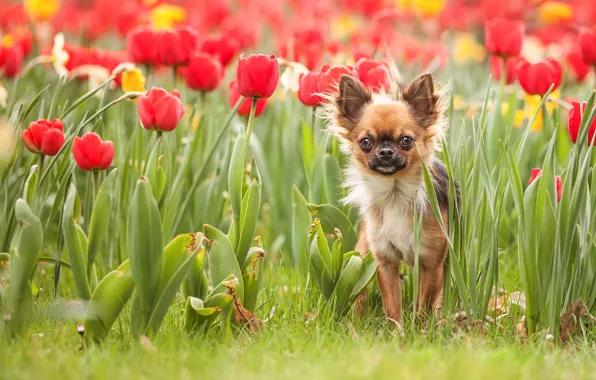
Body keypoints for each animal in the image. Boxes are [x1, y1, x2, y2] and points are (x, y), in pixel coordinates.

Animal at [326, 73, 452, 324]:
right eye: (366, 142)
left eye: (406, 140)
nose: (385, 152)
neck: (395, 194)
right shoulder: (385, 263)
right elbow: (392, 304)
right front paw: (397, 329)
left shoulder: (431, 265)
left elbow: (425, 304)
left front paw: (420, 327)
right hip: (362, 254)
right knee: (360, 292)